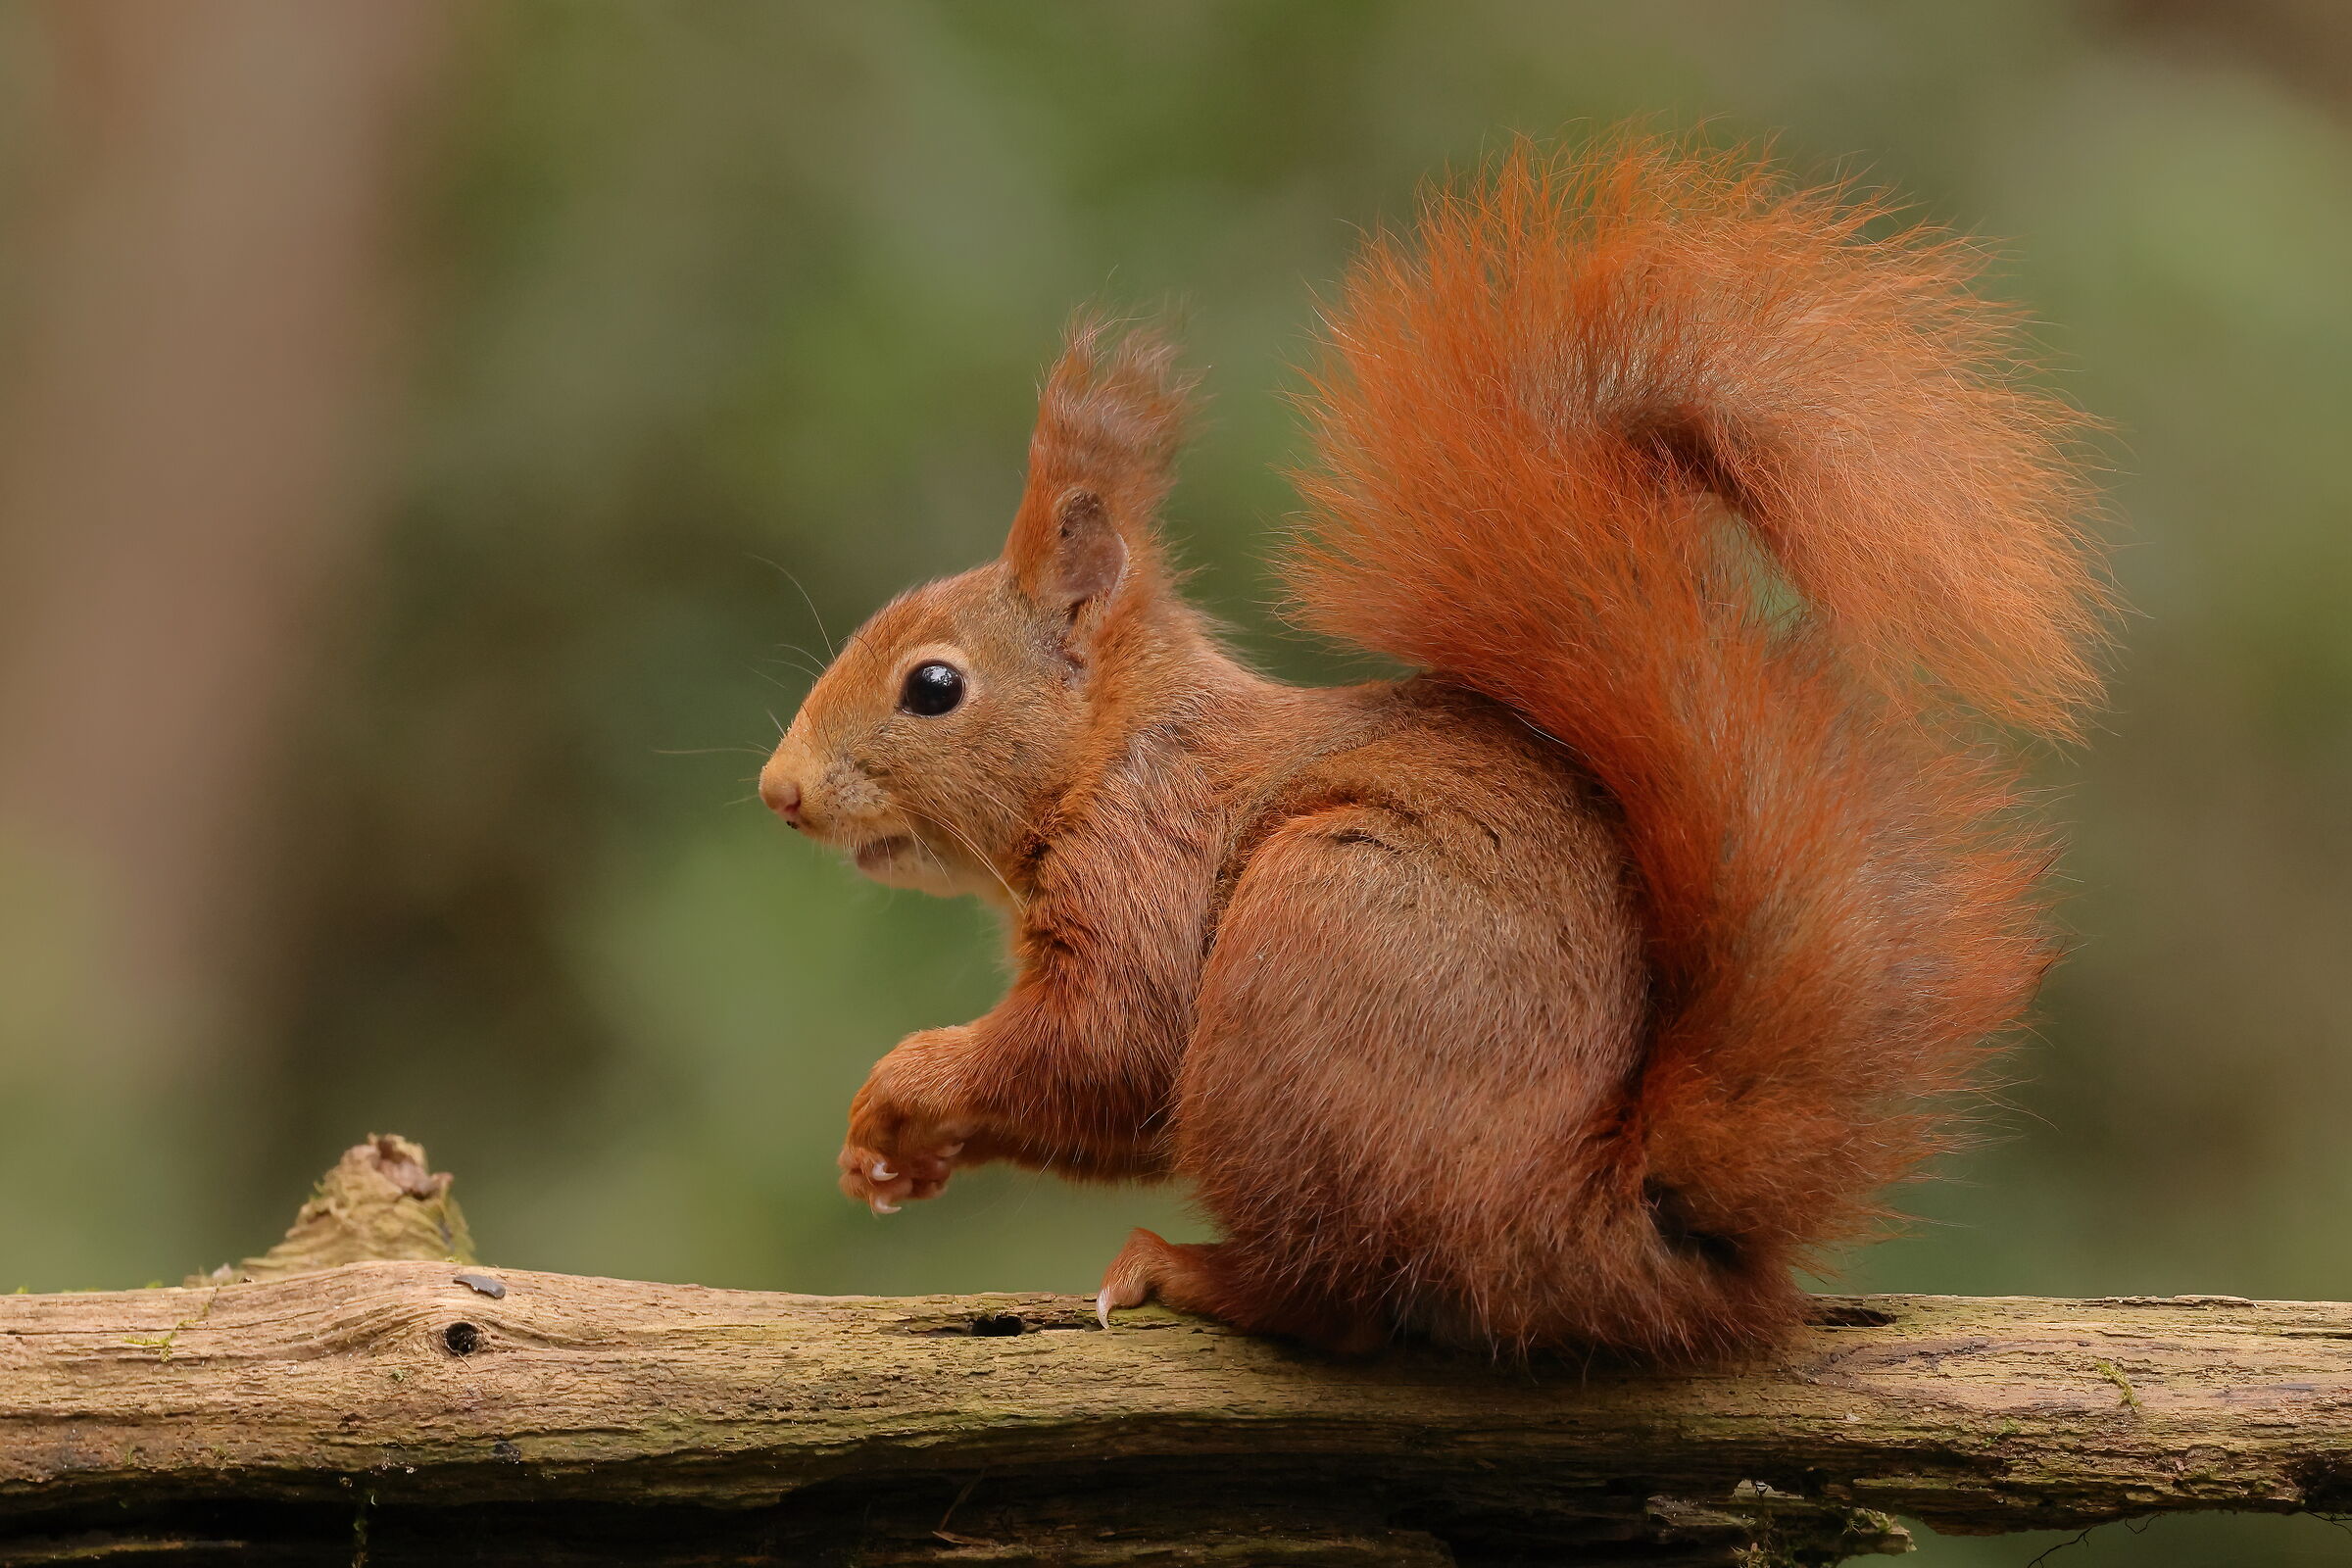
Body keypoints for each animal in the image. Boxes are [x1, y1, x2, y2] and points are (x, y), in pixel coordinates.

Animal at [757, 134, 2107, 1363]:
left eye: (934, 687)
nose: (779, 792)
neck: (1116, 750)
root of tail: (1591, 1220)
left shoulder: (1149, 856)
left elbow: (1108, 1044)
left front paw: (906, 1082)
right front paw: (886, 1157)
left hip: (1315, 950)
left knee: (1343, 1295)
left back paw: (1187, 1271)